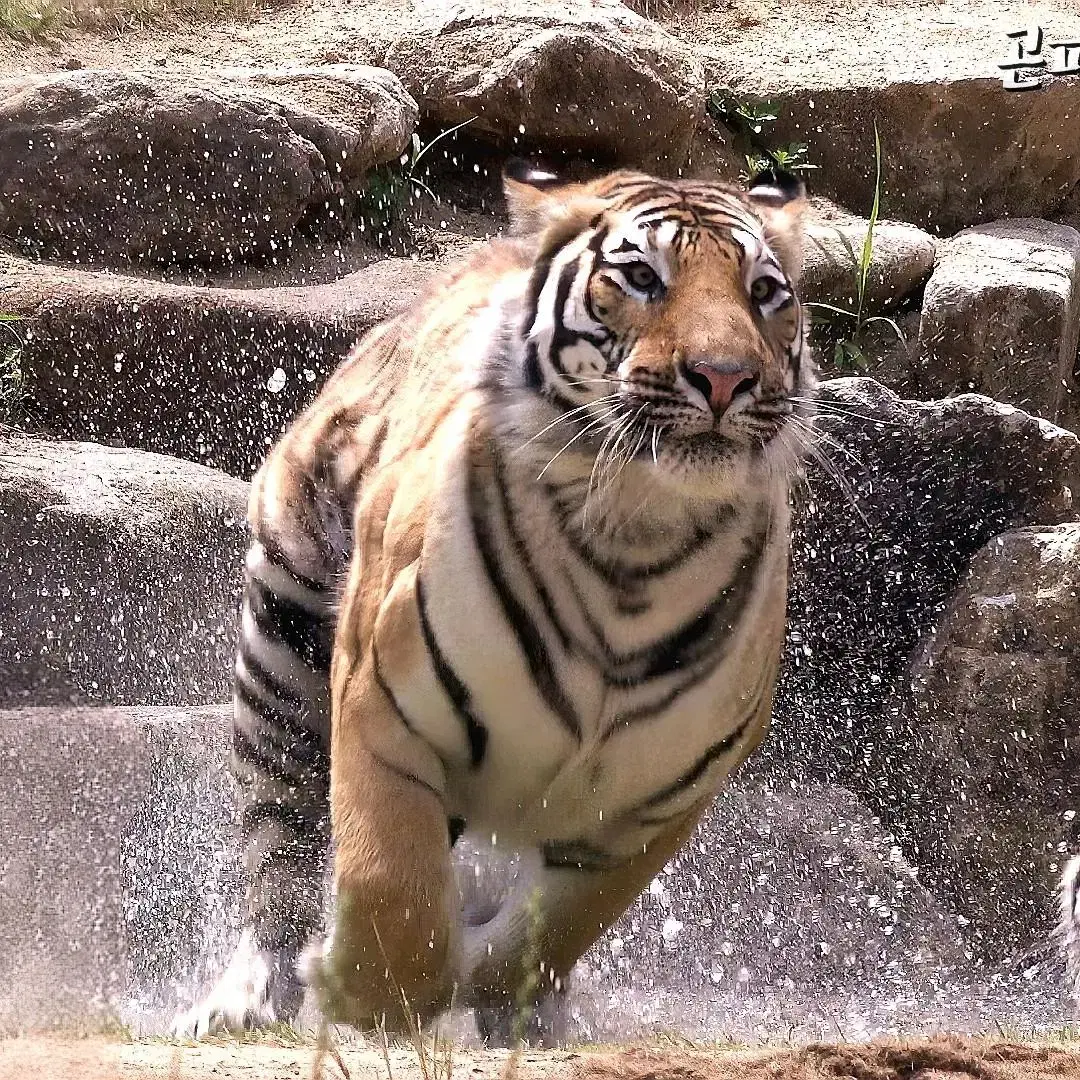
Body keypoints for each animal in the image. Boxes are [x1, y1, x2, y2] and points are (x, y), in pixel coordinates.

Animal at [174, 156, 816, 1041]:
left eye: (764, 292)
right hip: (284, 643)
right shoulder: (381, 708)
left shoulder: (654, 808)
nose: (726, 377)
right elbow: (390, 882)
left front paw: (494, 988)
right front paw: (362, 991)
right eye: (643, 278)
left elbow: (558, 927)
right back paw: (250, 996)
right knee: (280, 842)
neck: (636, 537)